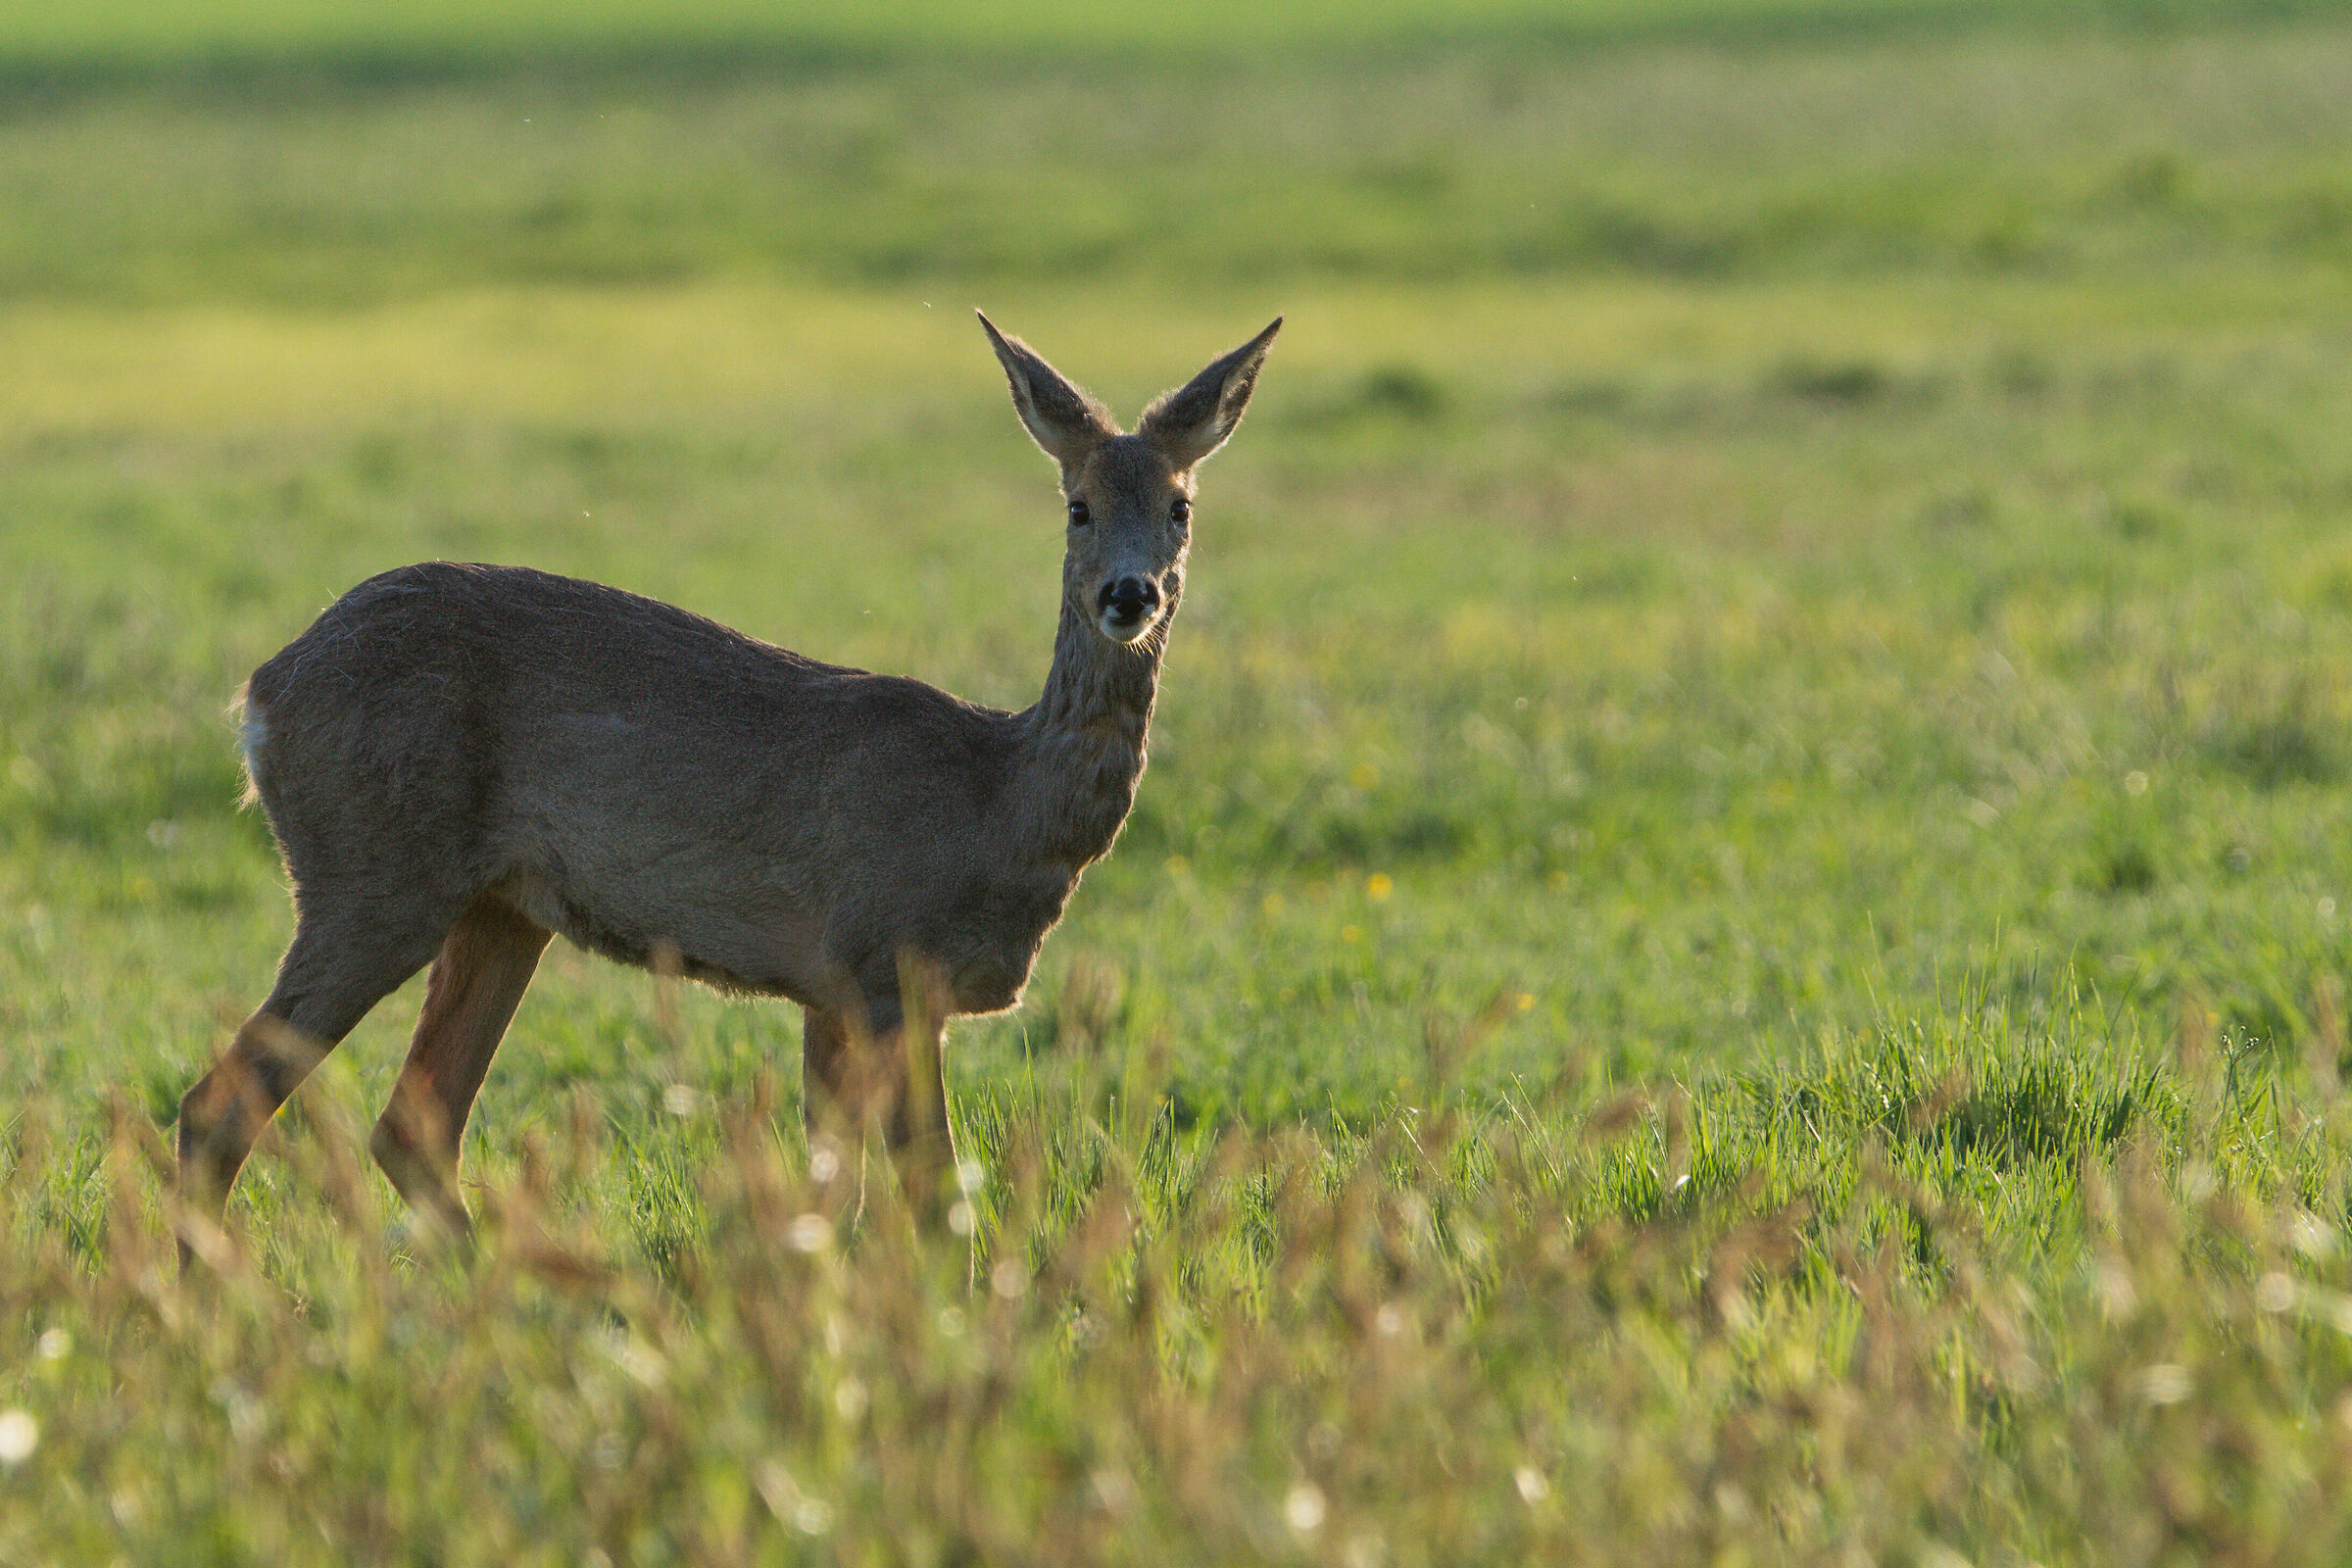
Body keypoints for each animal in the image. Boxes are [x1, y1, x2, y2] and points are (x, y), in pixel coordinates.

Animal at [174, 313, 1280, 1261]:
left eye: (1180, 506)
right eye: (1077, 504)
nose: (1129, 594)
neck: (998, 804)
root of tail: (261, 695)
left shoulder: (830, 992)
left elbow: (839, 1192)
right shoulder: (883, 955)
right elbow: (930, 1194)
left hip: (498, 907)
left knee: (412, 1121)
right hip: (372, 870)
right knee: (222, 1102)